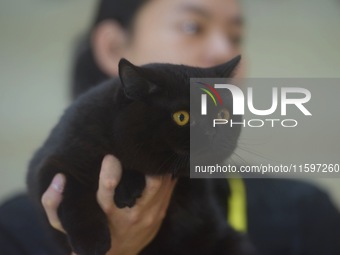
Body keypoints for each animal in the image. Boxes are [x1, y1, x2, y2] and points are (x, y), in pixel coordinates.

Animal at [27, 56, 255, 255]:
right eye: (181, 117)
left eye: (222, 115)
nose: (213, 132)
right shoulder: (53, 162)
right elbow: (74, 194)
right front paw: (91, 243)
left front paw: (128, 186)